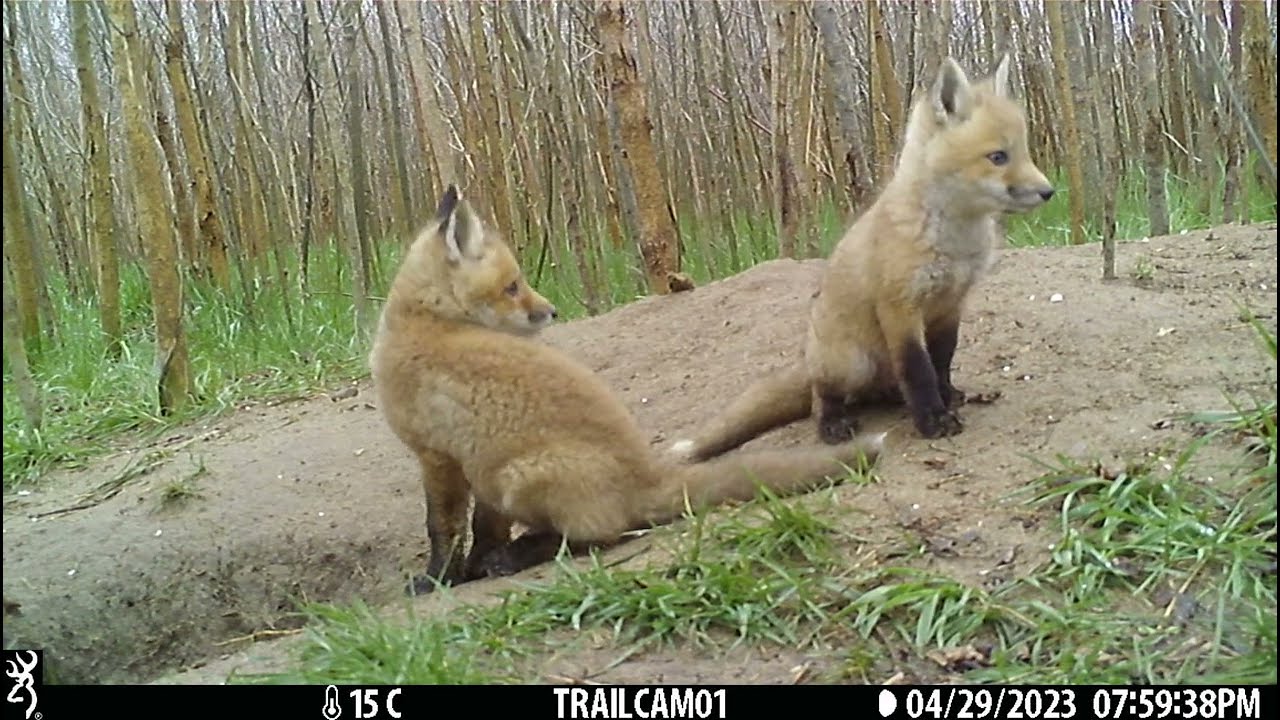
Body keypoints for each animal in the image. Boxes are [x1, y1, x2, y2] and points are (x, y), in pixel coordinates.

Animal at [369, 184, 886, 593]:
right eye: (513, 287)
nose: (552, 311)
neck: (426, 323)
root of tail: (646, 474)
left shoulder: (438, 456)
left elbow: (443, 528)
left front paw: (437, 580)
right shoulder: (472, 463)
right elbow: (481, 527)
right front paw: (469, 570)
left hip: (519, 476)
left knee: (599, 536)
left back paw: (520, 555)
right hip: (502, 475)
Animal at [670, 54, 1055, 463]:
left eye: (1025, 151)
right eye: (998, 157)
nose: (1049, 192)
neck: (952, 240)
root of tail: (809, 359)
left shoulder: (952, 303)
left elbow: (942, 361)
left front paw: (948, 397)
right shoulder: (899, 306)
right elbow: (918, 369)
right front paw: (933, 420)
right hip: (851, 363)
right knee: (821, 399)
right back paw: (833, 424)